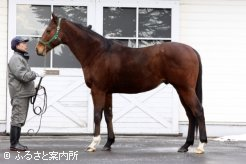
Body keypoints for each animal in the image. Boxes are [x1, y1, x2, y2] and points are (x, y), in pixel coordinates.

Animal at [35, 14, 207, 154]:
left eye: (48, 30)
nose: (38, 49)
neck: (97, 53)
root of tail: (192, 50)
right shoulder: (107, 91)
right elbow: (108, 116)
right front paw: (108, 143)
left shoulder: (98, 90)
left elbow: (97, 115)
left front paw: (93, 144)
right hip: (181, 90)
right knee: (190, 115)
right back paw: (185, 146)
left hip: (186, 89)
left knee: (198, 111)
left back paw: (201, 146)